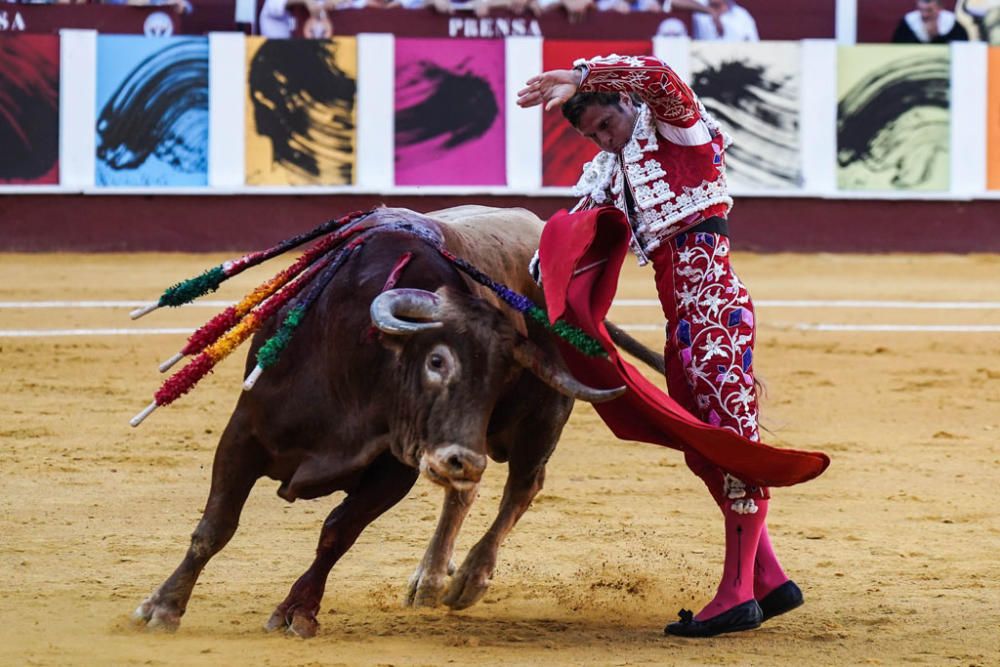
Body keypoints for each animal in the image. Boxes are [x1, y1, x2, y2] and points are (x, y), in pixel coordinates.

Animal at [133, 206, 648, 640]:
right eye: (437, 361)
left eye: (504, 376)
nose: (465, 460)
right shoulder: (244, 433)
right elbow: (216, 526)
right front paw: (163, 606)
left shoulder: (394, 468)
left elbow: (337, 532)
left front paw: (298, 611)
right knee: (468, 493)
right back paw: (430, 579)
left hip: (542, 420)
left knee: (522, 486)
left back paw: (466, 579)